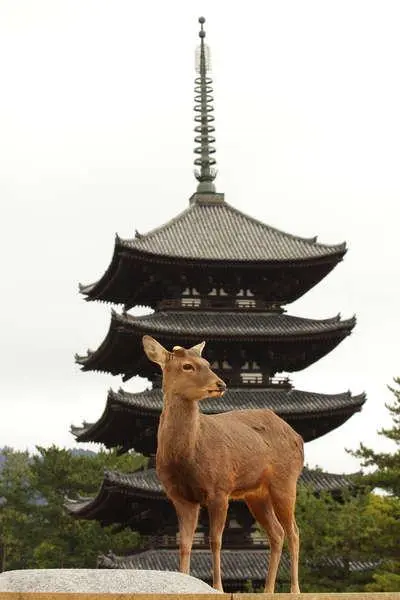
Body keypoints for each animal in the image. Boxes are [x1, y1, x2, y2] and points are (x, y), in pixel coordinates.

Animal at [143, 336, 304, 592]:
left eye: (207, 363)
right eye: (187, 366)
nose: (221, 384)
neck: (186, 457)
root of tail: (298, 438)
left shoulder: (219, 488)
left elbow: (215, 540)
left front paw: (218, 587)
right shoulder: (179, 496)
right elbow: (185, 543)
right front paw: (184, 579)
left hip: (285, 480)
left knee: (294, 532)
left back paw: (294, 589)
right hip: (256, 494)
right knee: (277, 533)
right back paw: (268, 589)